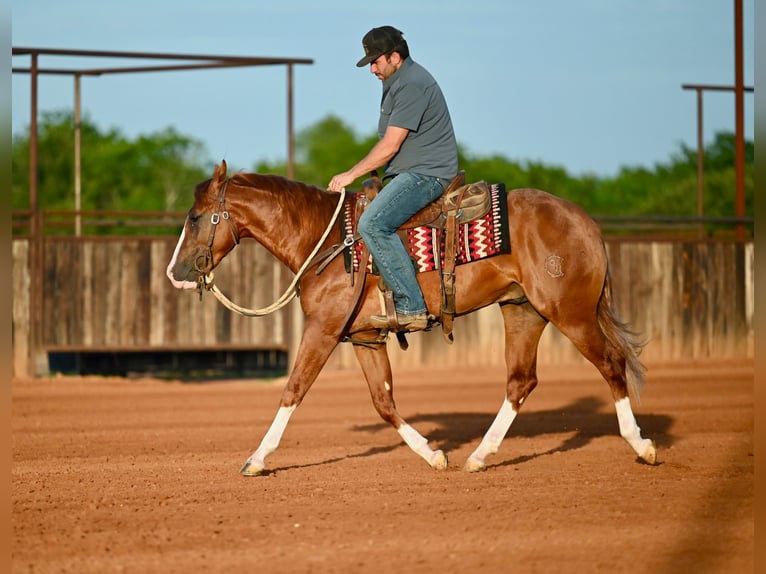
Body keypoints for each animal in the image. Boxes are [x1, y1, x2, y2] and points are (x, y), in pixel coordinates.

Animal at [166, 160, 657, 475]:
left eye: (195, 217)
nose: (175, 273)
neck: (327, 240)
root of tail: (585, 222)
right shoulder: (365, 337)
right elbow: (383, 403)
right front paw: (433, 455)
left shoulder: (322, 330)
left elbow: (293, 390)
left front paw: (257, 459)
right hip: (523, 312)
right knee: (521, 382)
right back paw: (479, 457)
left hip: (570, 313)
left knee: (611, 364)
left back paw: (642, 445)